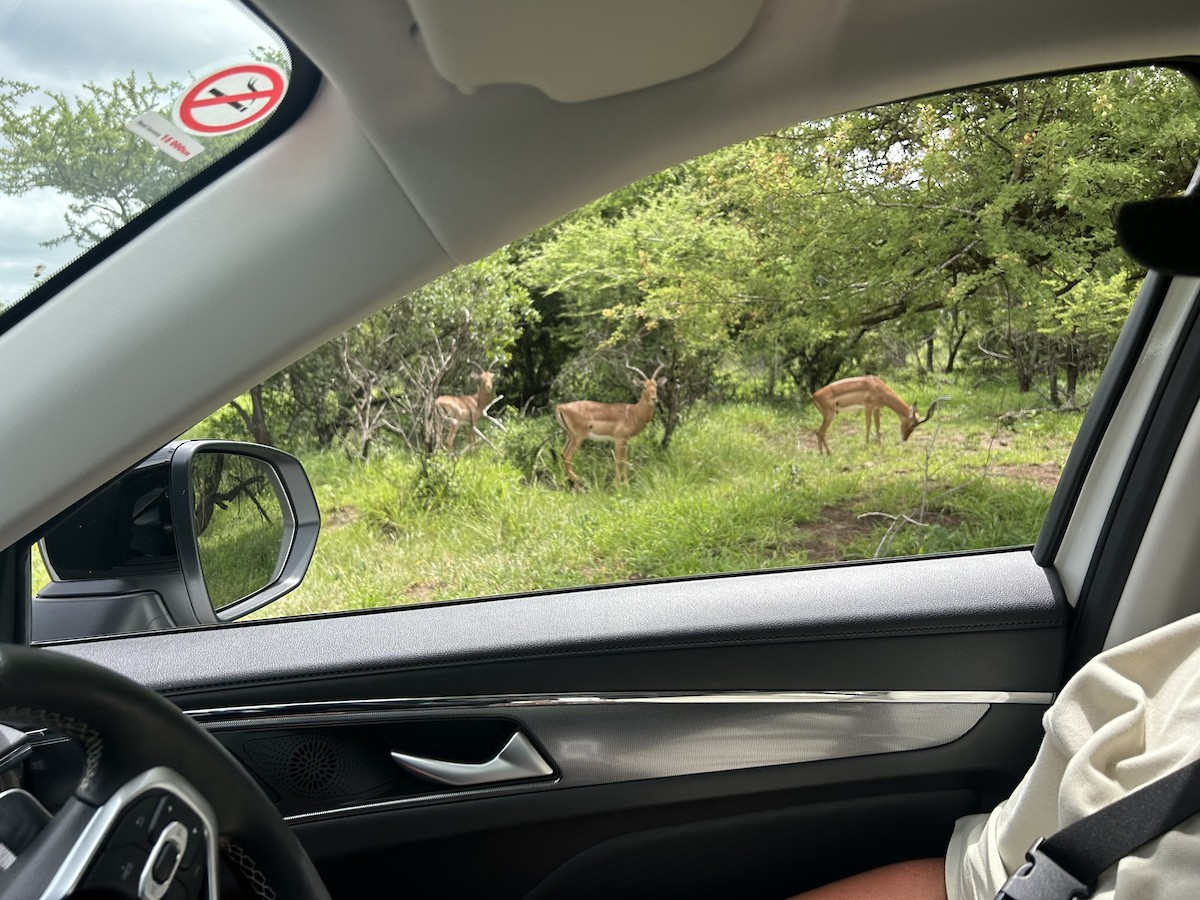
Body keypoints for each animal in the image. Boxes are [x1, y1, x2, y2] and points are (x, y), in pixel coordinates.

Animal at [811, 375, 941, 454]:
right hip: (830, 415)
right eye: (912, 425)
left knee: (818, 432)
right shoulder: (868, 406)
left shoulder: (876, 408)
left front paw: (879, 444)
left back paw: (822, 453)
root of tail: (814, 396)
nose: (904, 438)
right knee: (820, 432)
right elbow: (868, 425)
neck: (877, 386)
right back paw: (828, 453)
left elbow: (877, 425)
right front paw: (867, 445)